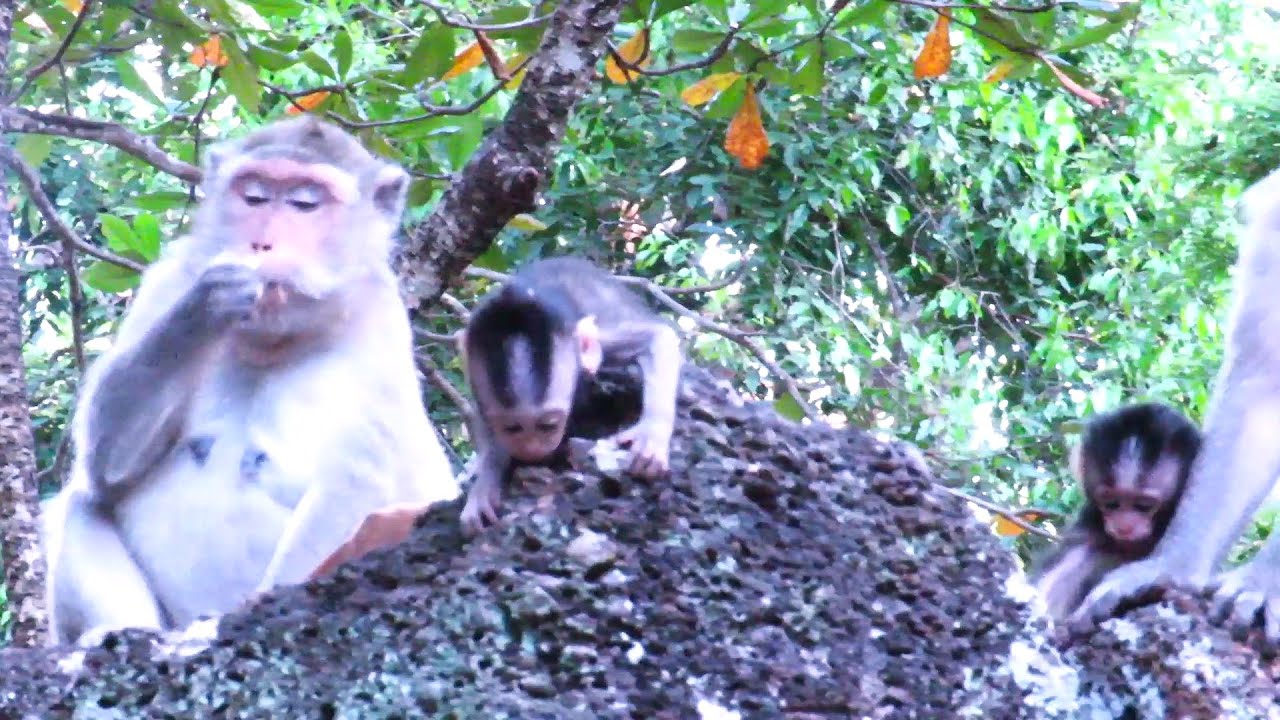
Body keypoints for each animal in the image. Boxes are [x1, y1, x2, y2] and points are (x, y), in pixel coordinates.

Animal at [39, 116, 460, 646]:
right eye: (254, 195)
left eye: (306, 203)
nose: (262, 245)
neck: (273, 338)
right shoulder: (168, 278)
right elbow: (107, 467)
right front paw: (206, 304)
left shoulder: (382, 323)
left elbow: (351, 483)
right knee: (83, 503)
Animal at [456, 256, 683, 535]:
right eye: (512, 428)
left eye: (548, 425)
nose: (531, 450)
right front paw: (485, 483)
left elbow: (657, 338)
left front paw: (651, 434)